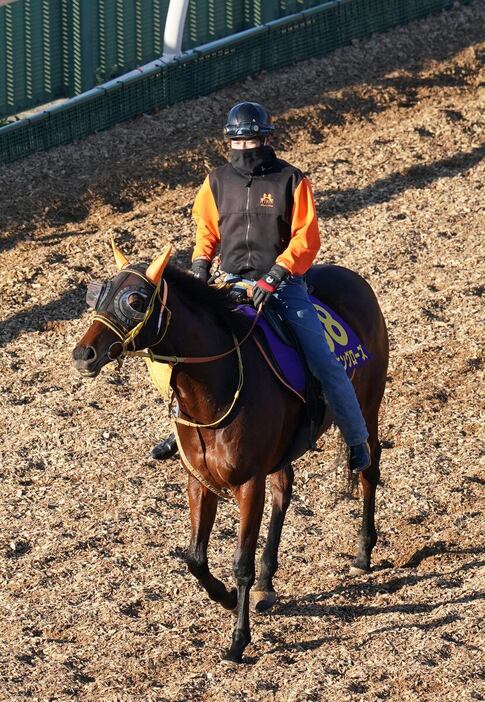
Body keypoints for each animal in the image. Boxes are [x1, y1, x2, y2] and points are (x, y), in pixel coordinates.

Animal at [72, 245, 388, 668]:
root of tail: (354, 279)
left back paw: (363, 552)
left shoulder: (248, 484)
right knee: (284, 491)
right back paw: (268, 582)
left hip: (367, 405)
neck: (214, 389)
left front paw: (238, 640)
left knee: (368, 466)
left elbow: (241, 564)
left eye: (135, 302)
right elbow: (195, 559)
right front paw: (226, 597)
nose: (83, 353)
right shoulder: (199, 480)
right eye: (99, 294)